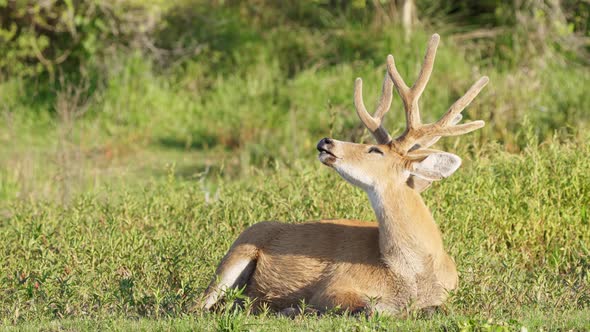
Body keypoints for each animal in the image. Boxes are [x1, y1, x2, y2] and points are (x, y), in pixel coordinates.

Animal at [202, 34, 490, 316]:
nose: (326, 141)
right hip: (235, 255)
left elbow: (434, 310)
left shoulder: (446, 295)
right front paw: (293, 309)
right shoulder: (335, 285)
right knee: (201, 305)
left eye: (375, 150)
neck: (415, 273)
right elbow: (368, 309)